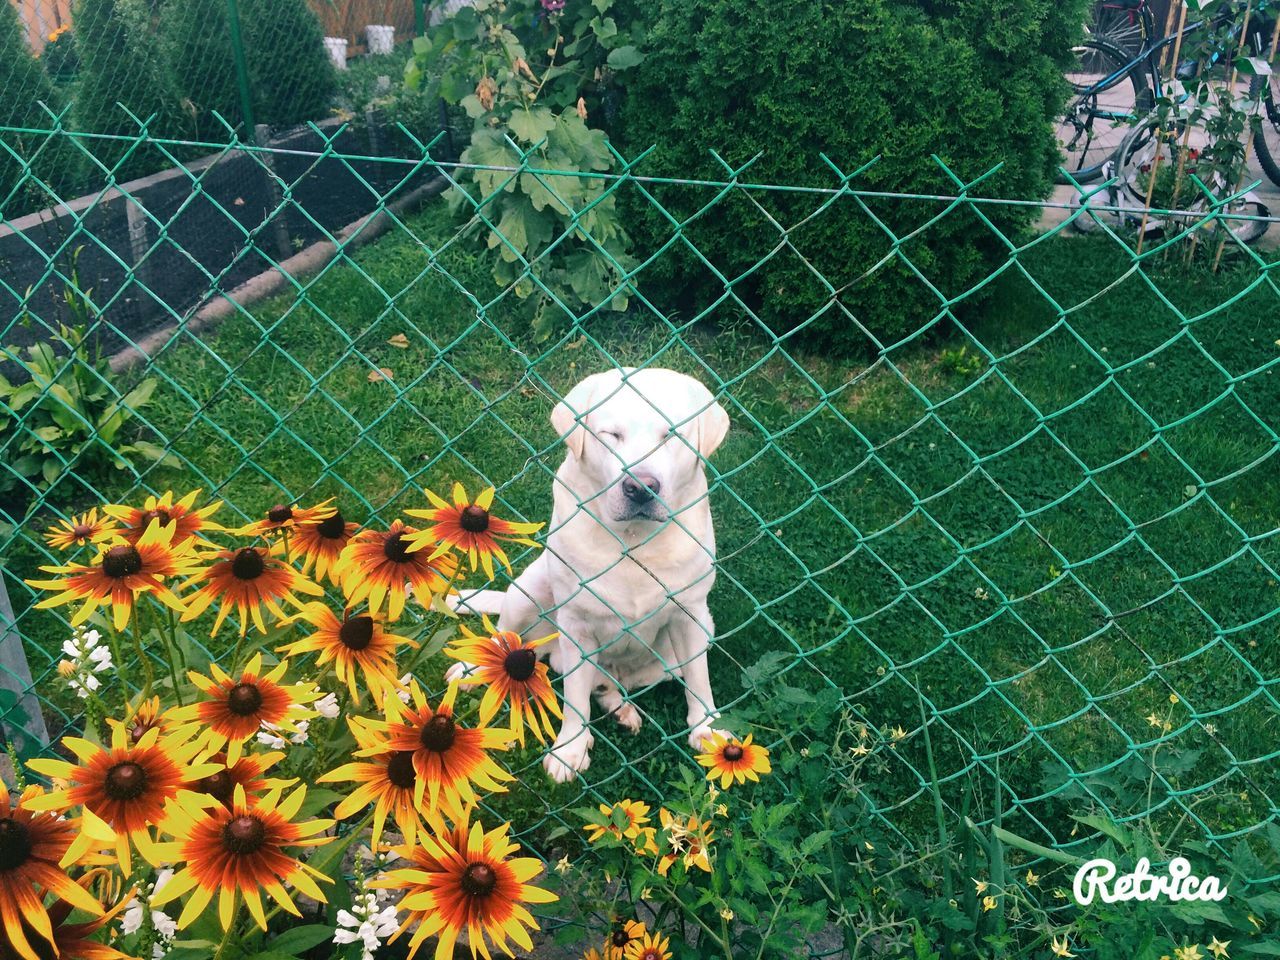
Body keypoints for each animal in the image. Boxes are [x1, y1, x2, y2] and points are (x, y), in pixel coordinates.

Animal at [450, 366, 732, 783]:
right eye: (610, 435)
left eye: (671, 436)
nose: (641, 488)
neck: (634, 543)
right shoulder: (577, 625)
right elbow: (574, 702)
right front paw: (569, 750)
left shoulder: (690, 616)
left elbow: (699, 681)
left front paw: (707, 729)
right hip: (528, 590)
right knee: (505, 638)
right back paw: (471, 668)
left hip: (692, 641)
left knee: (609, 681)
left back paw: (619, 706)